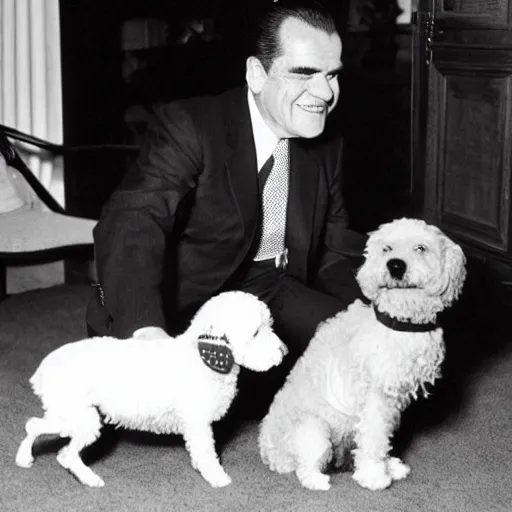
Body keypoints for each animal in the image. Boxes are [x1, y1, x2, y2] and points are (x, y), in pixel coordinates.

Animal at [16, 292, 288, 488]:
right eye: (256, 332)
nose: (284, 351)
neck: (203, 356)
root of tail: (43, 370)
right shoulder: (198, 423)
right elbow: (205, 452)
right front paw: (217, 477)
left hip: (67, 415)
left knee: (34, 425)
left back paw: (24, 458)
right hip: (80, 418)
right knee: (65, 454)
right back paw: (90, 479)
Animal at [258, 218, 466, 490]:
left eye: (421, 247)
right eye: (387, 248)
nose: (395, 265)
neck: (399, 322)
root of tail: (269, 452)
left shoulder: (392, 402)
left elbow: (383, 437)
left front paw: (389, 466)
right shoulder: (375, 401)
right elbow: (374, 441)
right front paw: (374, 475)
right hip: (314, 431)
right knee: (305, 467)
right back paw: (319, 481)